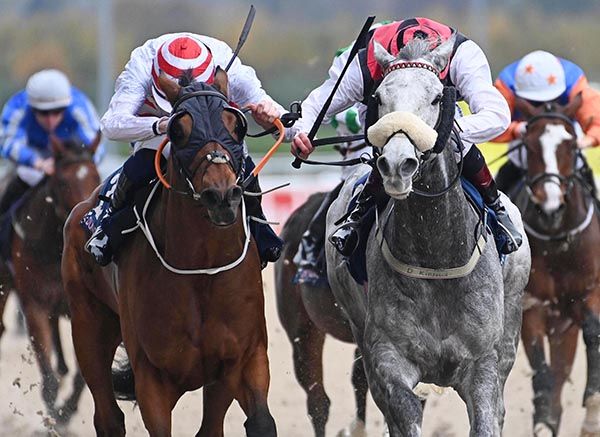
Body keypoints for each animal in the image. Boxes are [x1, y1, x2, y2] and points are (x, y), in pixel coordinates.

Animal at [0, 137, 99, 422]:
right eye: (63, 181)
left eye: (96, 177)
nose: (84, 220)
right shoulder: (34, 304)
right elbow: (47, 369)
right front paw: (56, 411)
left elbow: (83, 374)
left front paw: (67, 410)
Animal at [62, 70, 278, 434]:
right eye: (179, 130)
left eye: (235, 126)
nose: (221, 196)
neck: (203, 270)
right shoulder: (152, 376)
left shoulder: (245, 357)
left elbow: (261, 421)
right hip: (89, 325)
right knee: (108, 416)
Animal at [324, 37, 528, 436]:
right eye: (379, 98)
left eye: (436, 98)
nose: (396, 164)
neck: (437, 257)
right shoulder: (386, 355)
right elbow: (403, 408)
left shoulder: (484, 363)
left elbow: (487, 416)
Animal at [508, 95, 600, 436]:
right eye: (529, 145)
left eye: (571, 146)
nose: (550, 208)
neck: (559, 239)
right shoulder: (532, 306)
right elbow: (541, 369)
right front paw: (543, 420)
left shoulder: (589, 293)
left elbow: (593, 331)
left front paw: (592, 412)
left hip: (564, 329)